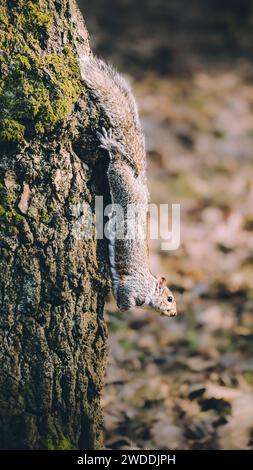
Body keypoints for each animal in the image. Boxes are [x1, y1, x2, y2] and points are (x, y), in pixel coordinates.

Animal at [78, 56, 176, 320]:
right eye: (170, 298)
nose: (174, 313)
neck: (150, 285)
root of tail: (139, 179)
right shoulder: (133, 286)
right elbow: (127, 299)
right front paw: (122, 305)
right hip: (121, 180)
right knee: (117, 160)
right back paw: (111, 144)